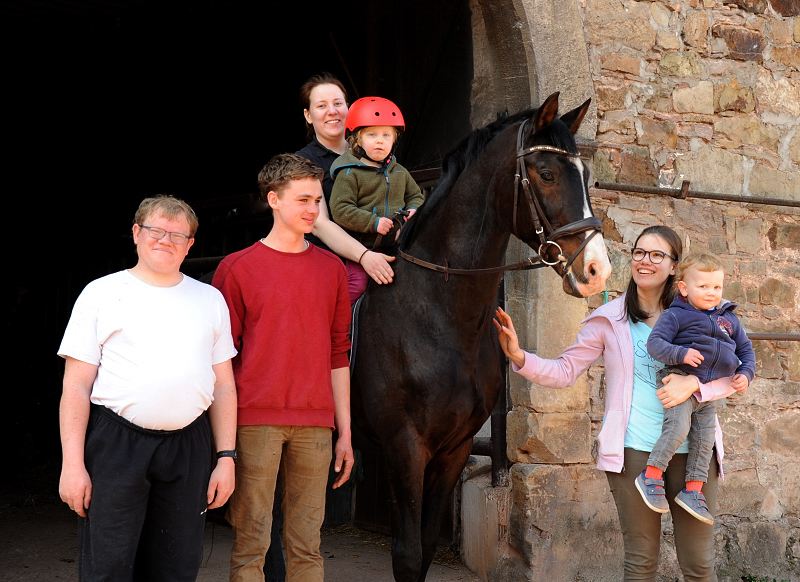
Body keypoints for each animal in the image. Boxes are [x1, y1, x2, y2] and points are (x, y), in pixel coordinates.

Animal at [352, 93, 612, 580]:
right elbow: (407, 554)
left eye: (586, 176)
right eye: (546, 174)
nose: (596, 270)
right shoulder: (404, 448)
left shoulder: (455, 450)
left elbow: (426, 549)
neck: (440, 316)